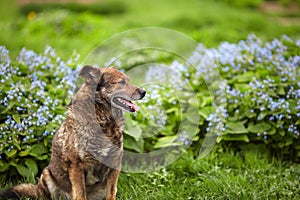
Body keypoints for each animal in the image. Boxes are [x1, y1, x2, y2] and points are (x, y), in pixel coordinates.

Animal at [0, 65, 146, 199]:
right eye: (121, 82)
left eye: (128, 80)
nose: (144, 92)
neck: (103, 119)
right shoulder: (77, 167)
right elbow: (80, 194)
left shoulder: (114, 165)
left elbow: (111, 194)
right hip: (47, 175)